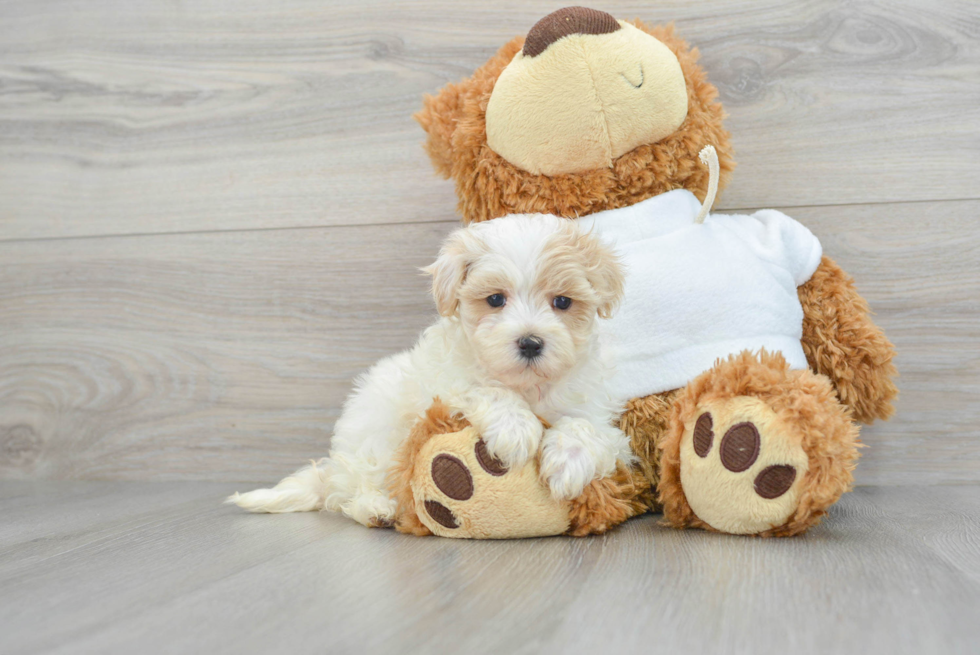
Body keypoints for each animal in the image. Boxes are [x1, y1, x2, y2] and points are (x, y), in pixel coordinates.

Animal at [227, 215, 632, 528]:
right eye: (495, 299)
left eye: (562, 302)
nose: (530, 343)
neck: (528, 387)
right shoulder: (446, 385)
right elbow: (484, 389)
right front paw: (516, 430)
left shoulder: (597, 410)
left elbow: (587, 427)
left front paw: (568, 464)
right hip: (378, 439)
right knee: (352, 488)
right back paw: (376, 509)